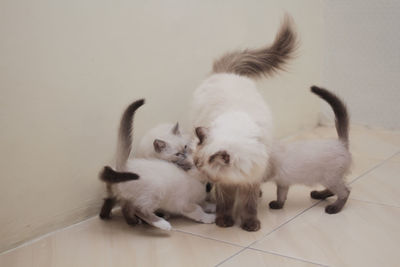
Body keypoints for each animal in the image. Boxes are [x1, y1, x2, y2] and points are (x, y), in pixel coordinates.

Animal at [268, 87, 352, 215]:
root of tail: (341, 143)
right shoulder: (283, 182)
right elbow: (281, 196)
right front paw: (278, 205)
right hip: (328, 179)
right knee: (334, 190)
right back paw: (317, 194)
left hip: (330, 178)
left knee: (345, 192)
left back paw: (333, 208)